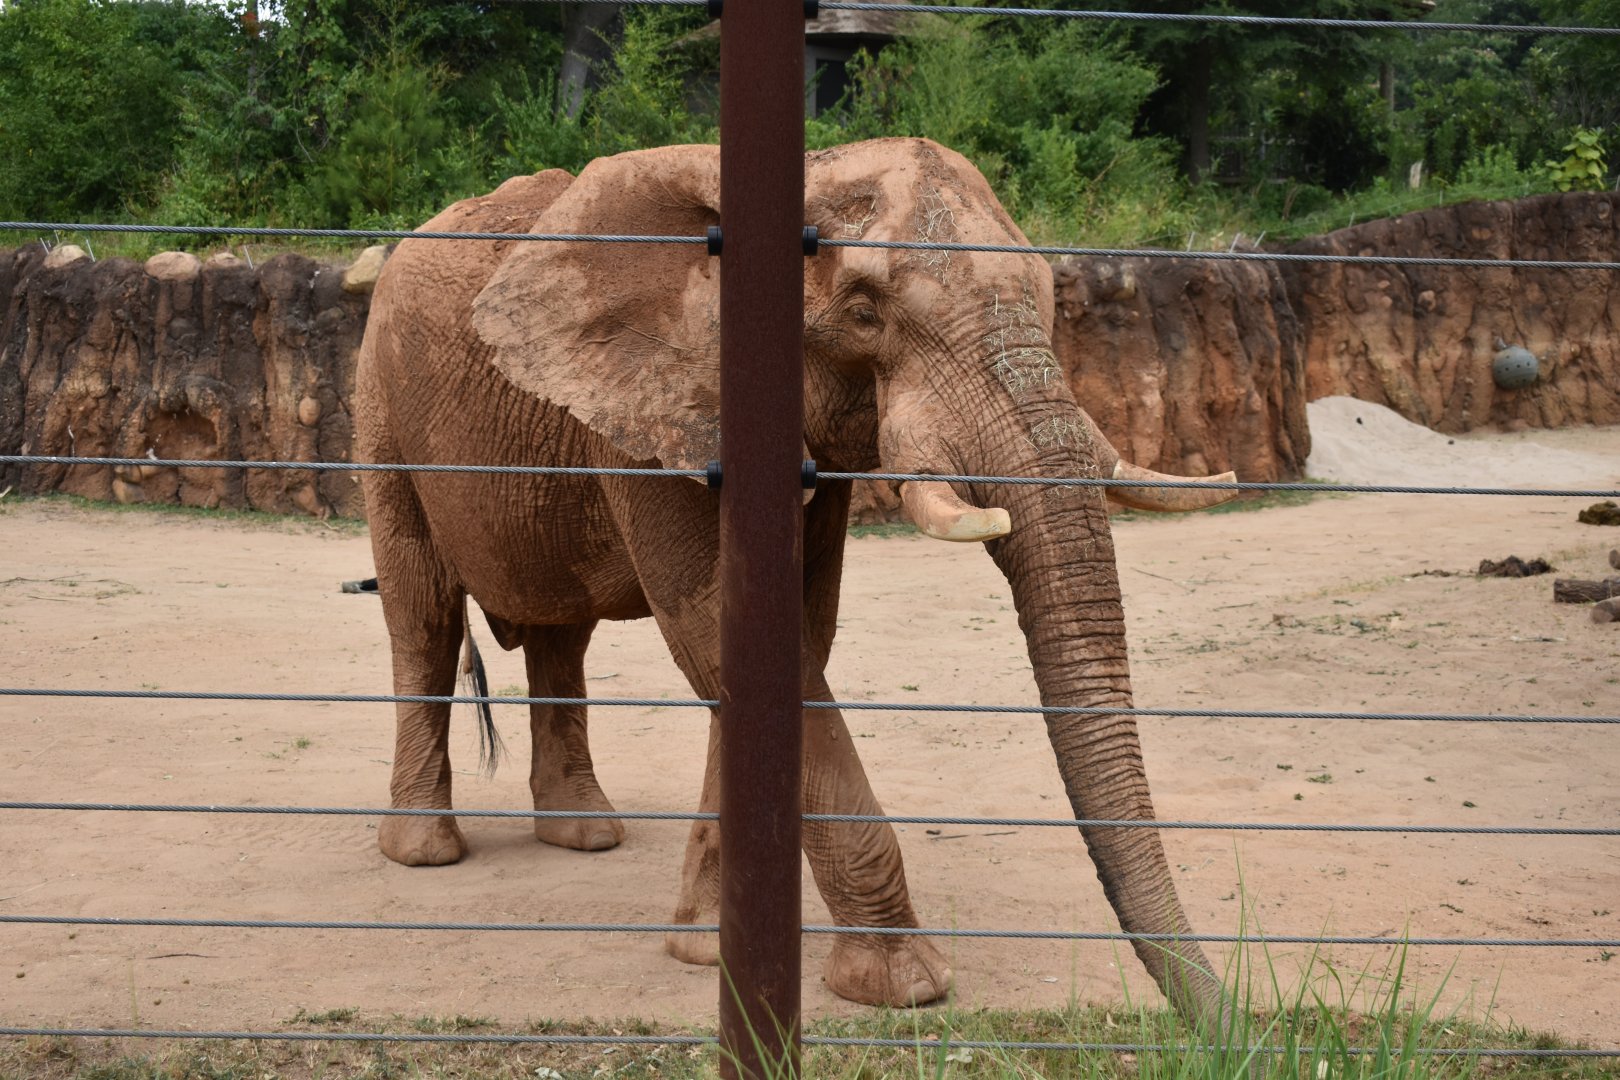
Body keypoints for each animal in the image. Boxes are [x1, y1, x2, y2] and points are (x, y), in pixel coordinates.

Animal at [355, 137, 1240, 1024]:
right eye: (864, 313)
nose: (1230, 1017)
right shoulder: (655, 412)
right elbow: (723, 633)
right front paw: (902, 986)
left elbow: (785, 635)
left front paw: (706, 949)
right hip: (379, 402)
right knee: (423, 614)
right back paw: (427, 852)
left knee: (559, 636)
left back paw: (584, 834)